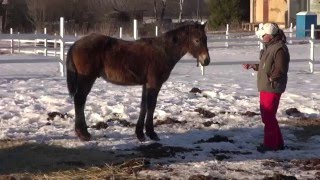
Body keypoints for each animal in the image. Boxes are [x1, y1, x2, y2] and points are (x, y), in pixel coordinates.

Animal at [66, 21, 211, 141]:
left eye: (206, 39)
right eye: (197, 40)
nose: (206, 61)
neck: (163, 51)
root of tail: (76, 44)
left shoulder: (146, 84)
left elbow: (143, 105)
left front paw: (140, 134)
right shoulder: (154, 83)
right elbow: (151, 105)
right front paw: (151, 133)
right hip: (87, 79)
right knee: (80, 100)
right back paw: (83, 134)